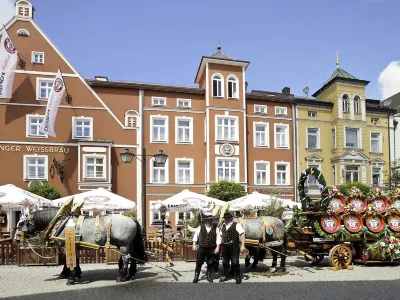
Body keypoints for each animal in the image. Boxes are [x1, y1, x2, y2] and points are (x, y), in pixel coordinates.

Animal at [16, 207, 147, 284]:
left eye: (21, 223)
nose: (16, 238)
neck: (61, 223)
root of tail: (132, 219)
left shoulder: (66, 246)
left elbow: (68, 260)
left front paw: (70, 277)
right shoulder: (74, 246)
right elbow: (76, 260)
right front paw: (77, 275)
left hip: (124, 244)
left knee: (126, 258)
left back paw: (122, 276)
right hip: (127, 244)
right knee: (132, 256)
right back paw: (131, 274)